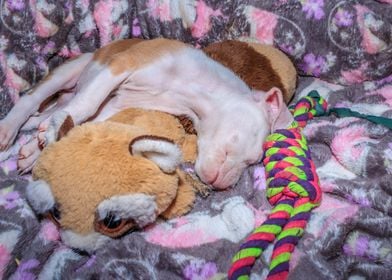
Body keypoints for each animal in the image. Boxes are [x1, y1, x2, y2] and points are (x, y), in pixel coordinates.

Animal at [0, 38, 294, 189]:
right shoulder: (121, 66)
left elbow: (87, 121)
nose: (222, 185)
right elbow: (89, 104)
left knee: (43, 114)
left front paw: (42, 145)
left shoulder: (115, 105)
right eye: (252, 156)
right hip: (72, 69)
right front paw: (50, 134)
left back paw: (33, 143)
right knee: (31, 99)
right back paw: (10, 129)